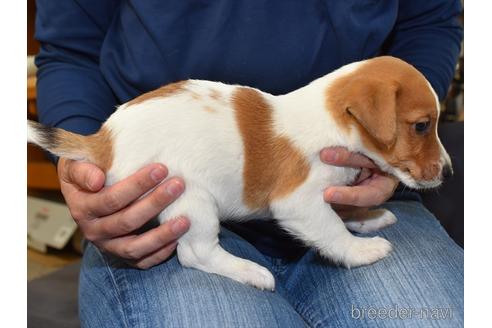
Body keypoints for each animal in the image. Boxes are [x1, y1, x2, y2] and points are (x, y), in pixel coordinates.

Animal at [26, 55, 450, 290]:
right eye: (421, 126)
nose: (447, 171)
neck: (330, 121)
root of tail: (103, 140)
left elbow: (342, 209)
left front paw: (367, 215)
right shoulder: (298, 203)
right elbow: (331, 230)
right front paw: (360, 249)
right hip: (191, 200)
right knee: (195, 254)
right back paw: (250, 271)